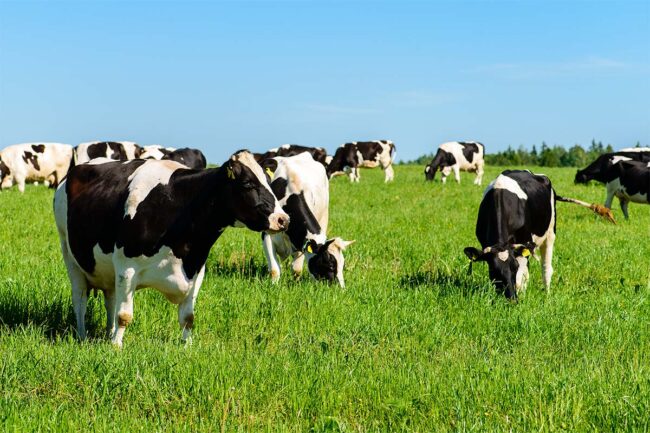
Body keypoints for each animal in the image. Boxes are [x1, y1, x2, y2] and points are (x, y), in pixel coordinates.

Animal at [54, 150, 288, 346]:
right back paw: (83, 335)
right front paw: (116, 347)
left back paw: (108, 332)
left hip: (106, 271)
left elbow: (188, 318)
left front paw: (187, 346)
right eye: (247, 183)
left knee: (109, 299)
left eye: (269, 181)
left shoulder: (197, 269)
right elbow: (124, 315)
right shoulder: (126, 267)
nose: (283, 219)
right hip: (69, 252)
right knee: (80, 298)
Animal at [260, 154, 354, 286]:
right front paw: (274, 286)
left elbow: (297, 269)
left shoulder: (299, 240)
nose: (341, 288)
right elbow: (274, 270)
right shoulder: (267, 234)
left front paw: (295, 283)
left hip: (324, 215)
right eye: (330, 265)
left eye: (342, 264)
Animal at [464, 170, 612, 298]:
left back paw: (547, 294)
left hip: (550, 233)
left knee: (546, 268)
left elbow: (521, 278)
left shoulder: (525, 243)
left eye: (514, 268)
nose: (512, 299)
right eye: (494, 271)